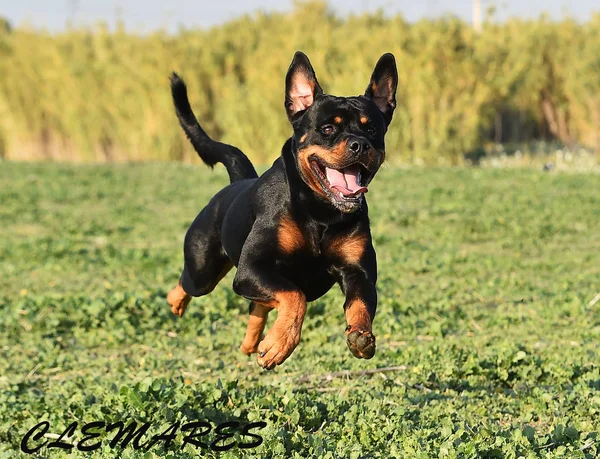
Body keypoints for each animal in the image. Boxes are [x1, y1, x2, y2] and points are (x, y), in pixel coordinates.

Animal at [166, 52, 396, 372]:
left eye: (371, 128)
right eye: (328, 129)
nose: (360, 144)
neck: (320, 213)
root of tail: (238, 181)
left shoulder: (358, 271)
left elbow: (360, 304)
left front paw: (361, 336)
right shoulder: (253, 267)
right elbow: (294, 295)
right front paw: (280, 344)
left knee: (257, 307)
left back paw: (253, 344)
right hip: (203, 271)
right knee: (185, 285)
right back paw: (176, 304)